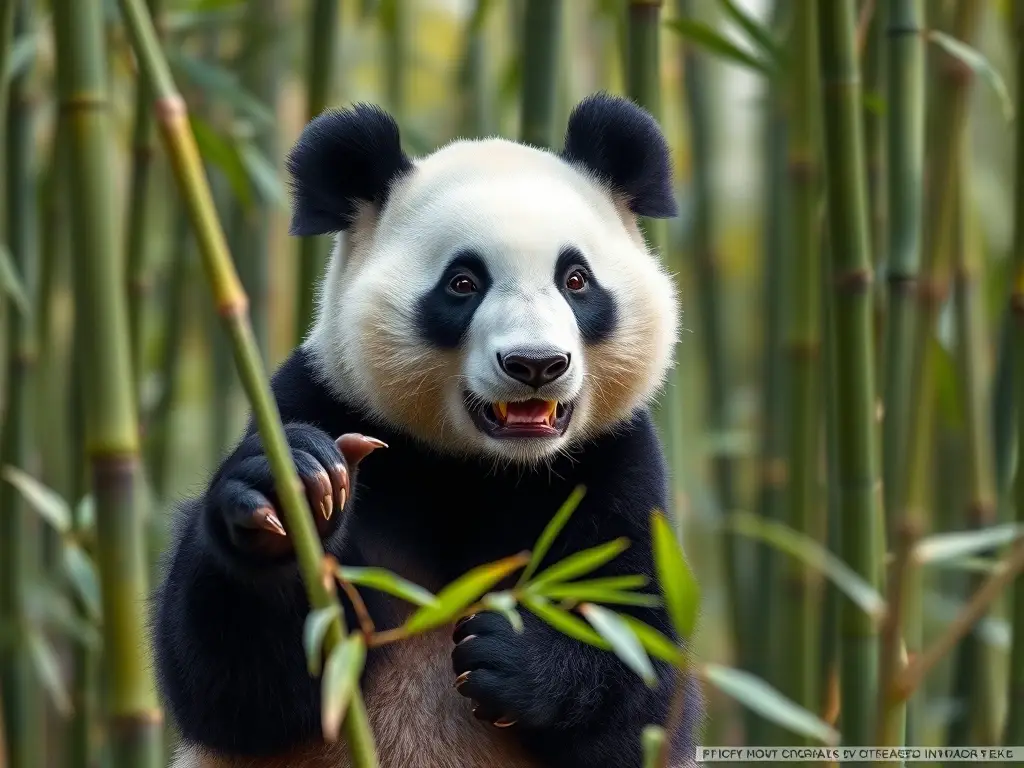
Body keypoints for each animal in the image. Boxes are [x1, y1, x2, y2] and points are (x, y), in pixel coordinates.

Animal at [154, 91, 703, 768]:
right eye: (463, 283)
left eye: (575, 279)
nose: (535, 364)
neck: (481, 467)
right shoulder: (322, 400)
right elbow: (234, 684)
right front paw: (289, 496)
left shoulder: (613, 464)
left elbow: (645, 683)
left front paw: (515, 656)